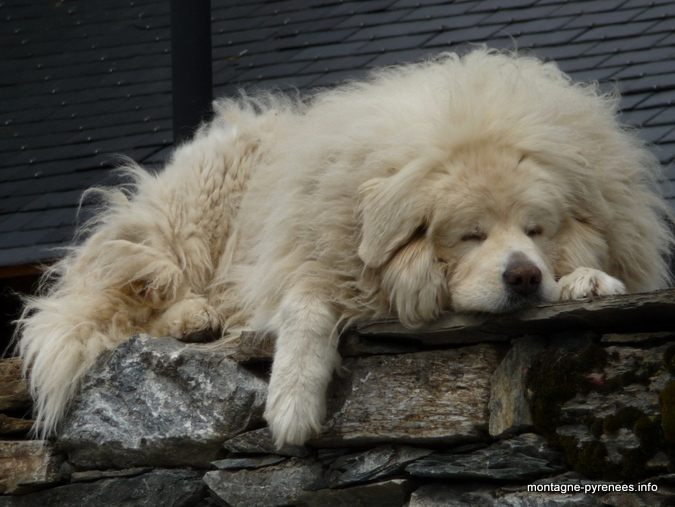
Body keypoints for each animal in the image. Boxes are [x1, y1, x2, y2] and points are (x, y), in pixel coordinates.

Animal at [18, 50, 672, 448]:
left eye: (537, 230)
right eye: (470, 234)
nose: (524, 278)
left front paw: (586, 280)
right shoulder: (305, 256)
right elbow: (305, 309)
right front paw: (290, 404)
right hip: (198, 211)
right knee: (128, 298)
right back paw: (193, 316)